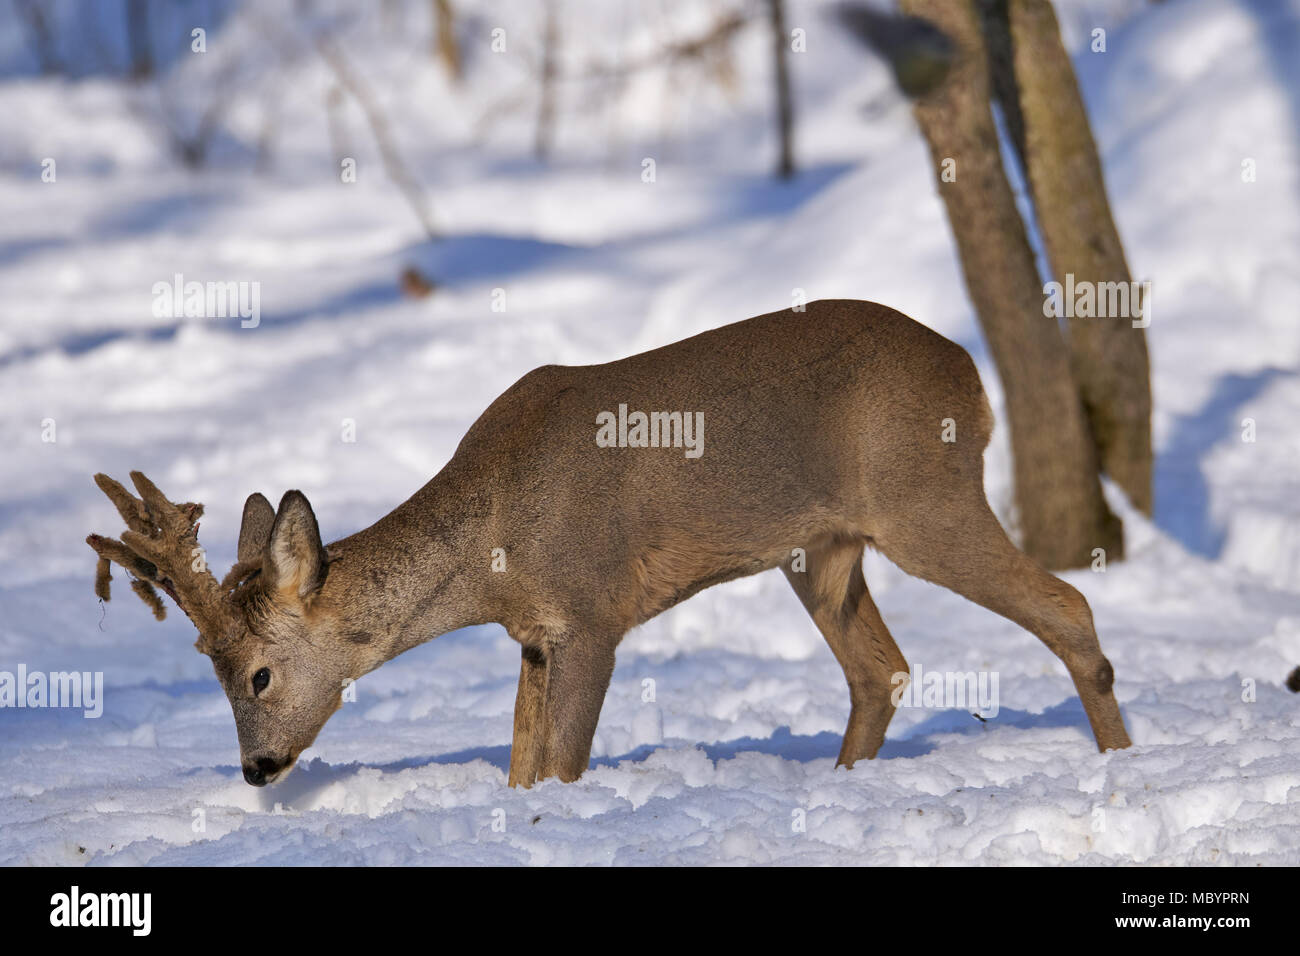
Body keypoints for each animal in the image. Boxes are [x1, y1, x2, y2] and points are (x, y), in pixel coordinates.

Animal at [86, 299, 1132, 788]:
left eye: (258, 674)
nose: (256, 769)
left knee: (1071, 601)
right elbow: (518, 762)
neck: (495, 545)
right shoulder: (535, 637)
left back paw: (1120, 760)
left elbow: (560, 762)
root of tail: (973, 377)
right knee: (881, 669)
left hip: (923, 500)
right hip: (820, 549)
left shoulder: (592, 614)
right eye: (209, 666)